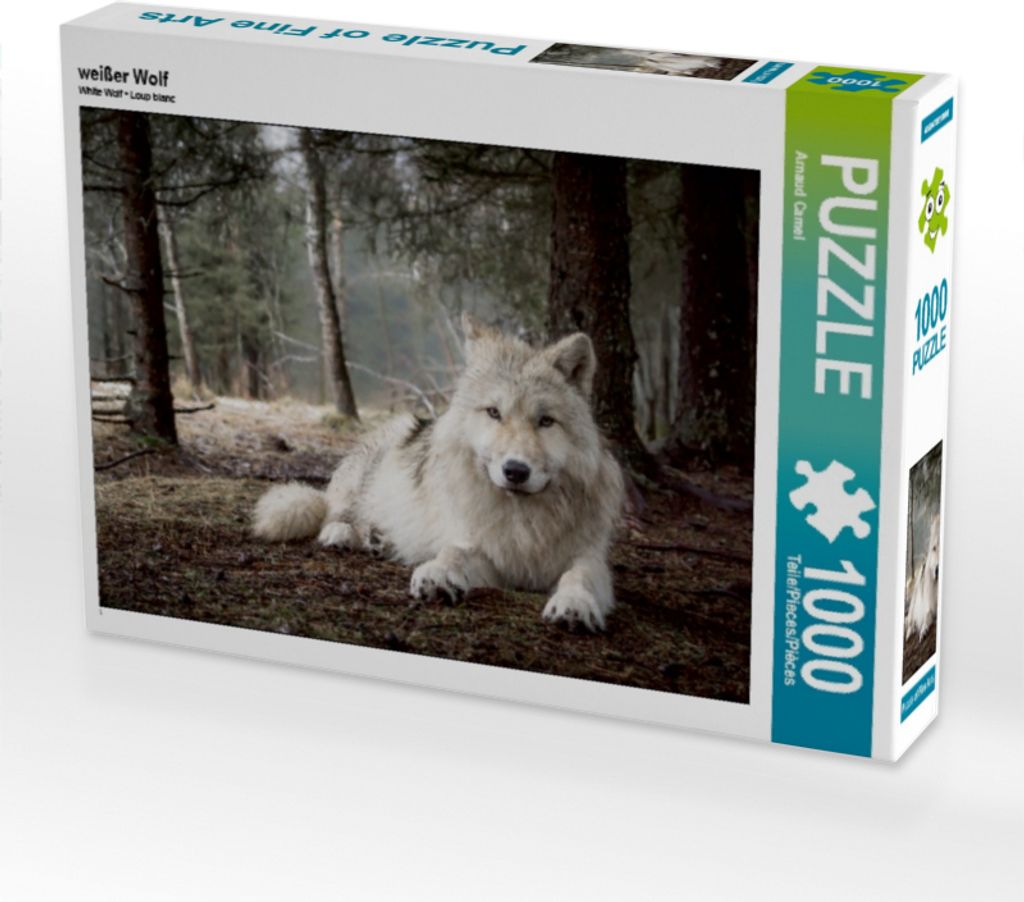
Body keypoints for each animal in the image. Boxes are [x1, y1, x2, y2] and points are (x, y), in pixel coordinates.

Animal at [253, 315, 625, 631]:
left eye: (545, 421)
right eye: (494, 413)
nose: (516, 471)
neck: (522, 519)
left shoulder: (589, 557)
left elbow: (579, 576)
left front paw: (575, 604)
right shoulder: (475, 544)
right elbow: (453, 552)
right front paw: (438, 575)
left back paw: (380, 541)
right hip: (362, 474)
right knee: (332, 513)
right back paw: (345, 535)